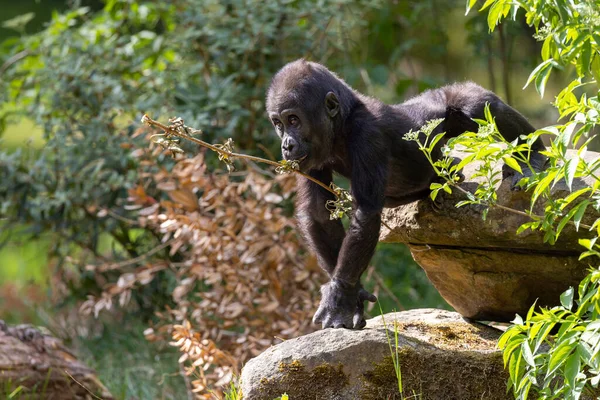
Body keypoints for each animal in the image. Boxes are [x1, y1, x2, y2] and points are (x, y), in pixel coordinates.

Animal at [264, 58, 548, 328]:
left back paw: (532, 156)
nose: (286, 145)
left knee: (476, 105)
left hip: (451, 102)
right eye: (278, 124)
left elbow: (366, 213)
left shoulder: (367, 135)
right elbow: (319, 214)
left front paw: (339, 295)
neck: (343, 121)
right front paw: (353, 295)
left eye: (294, 120)